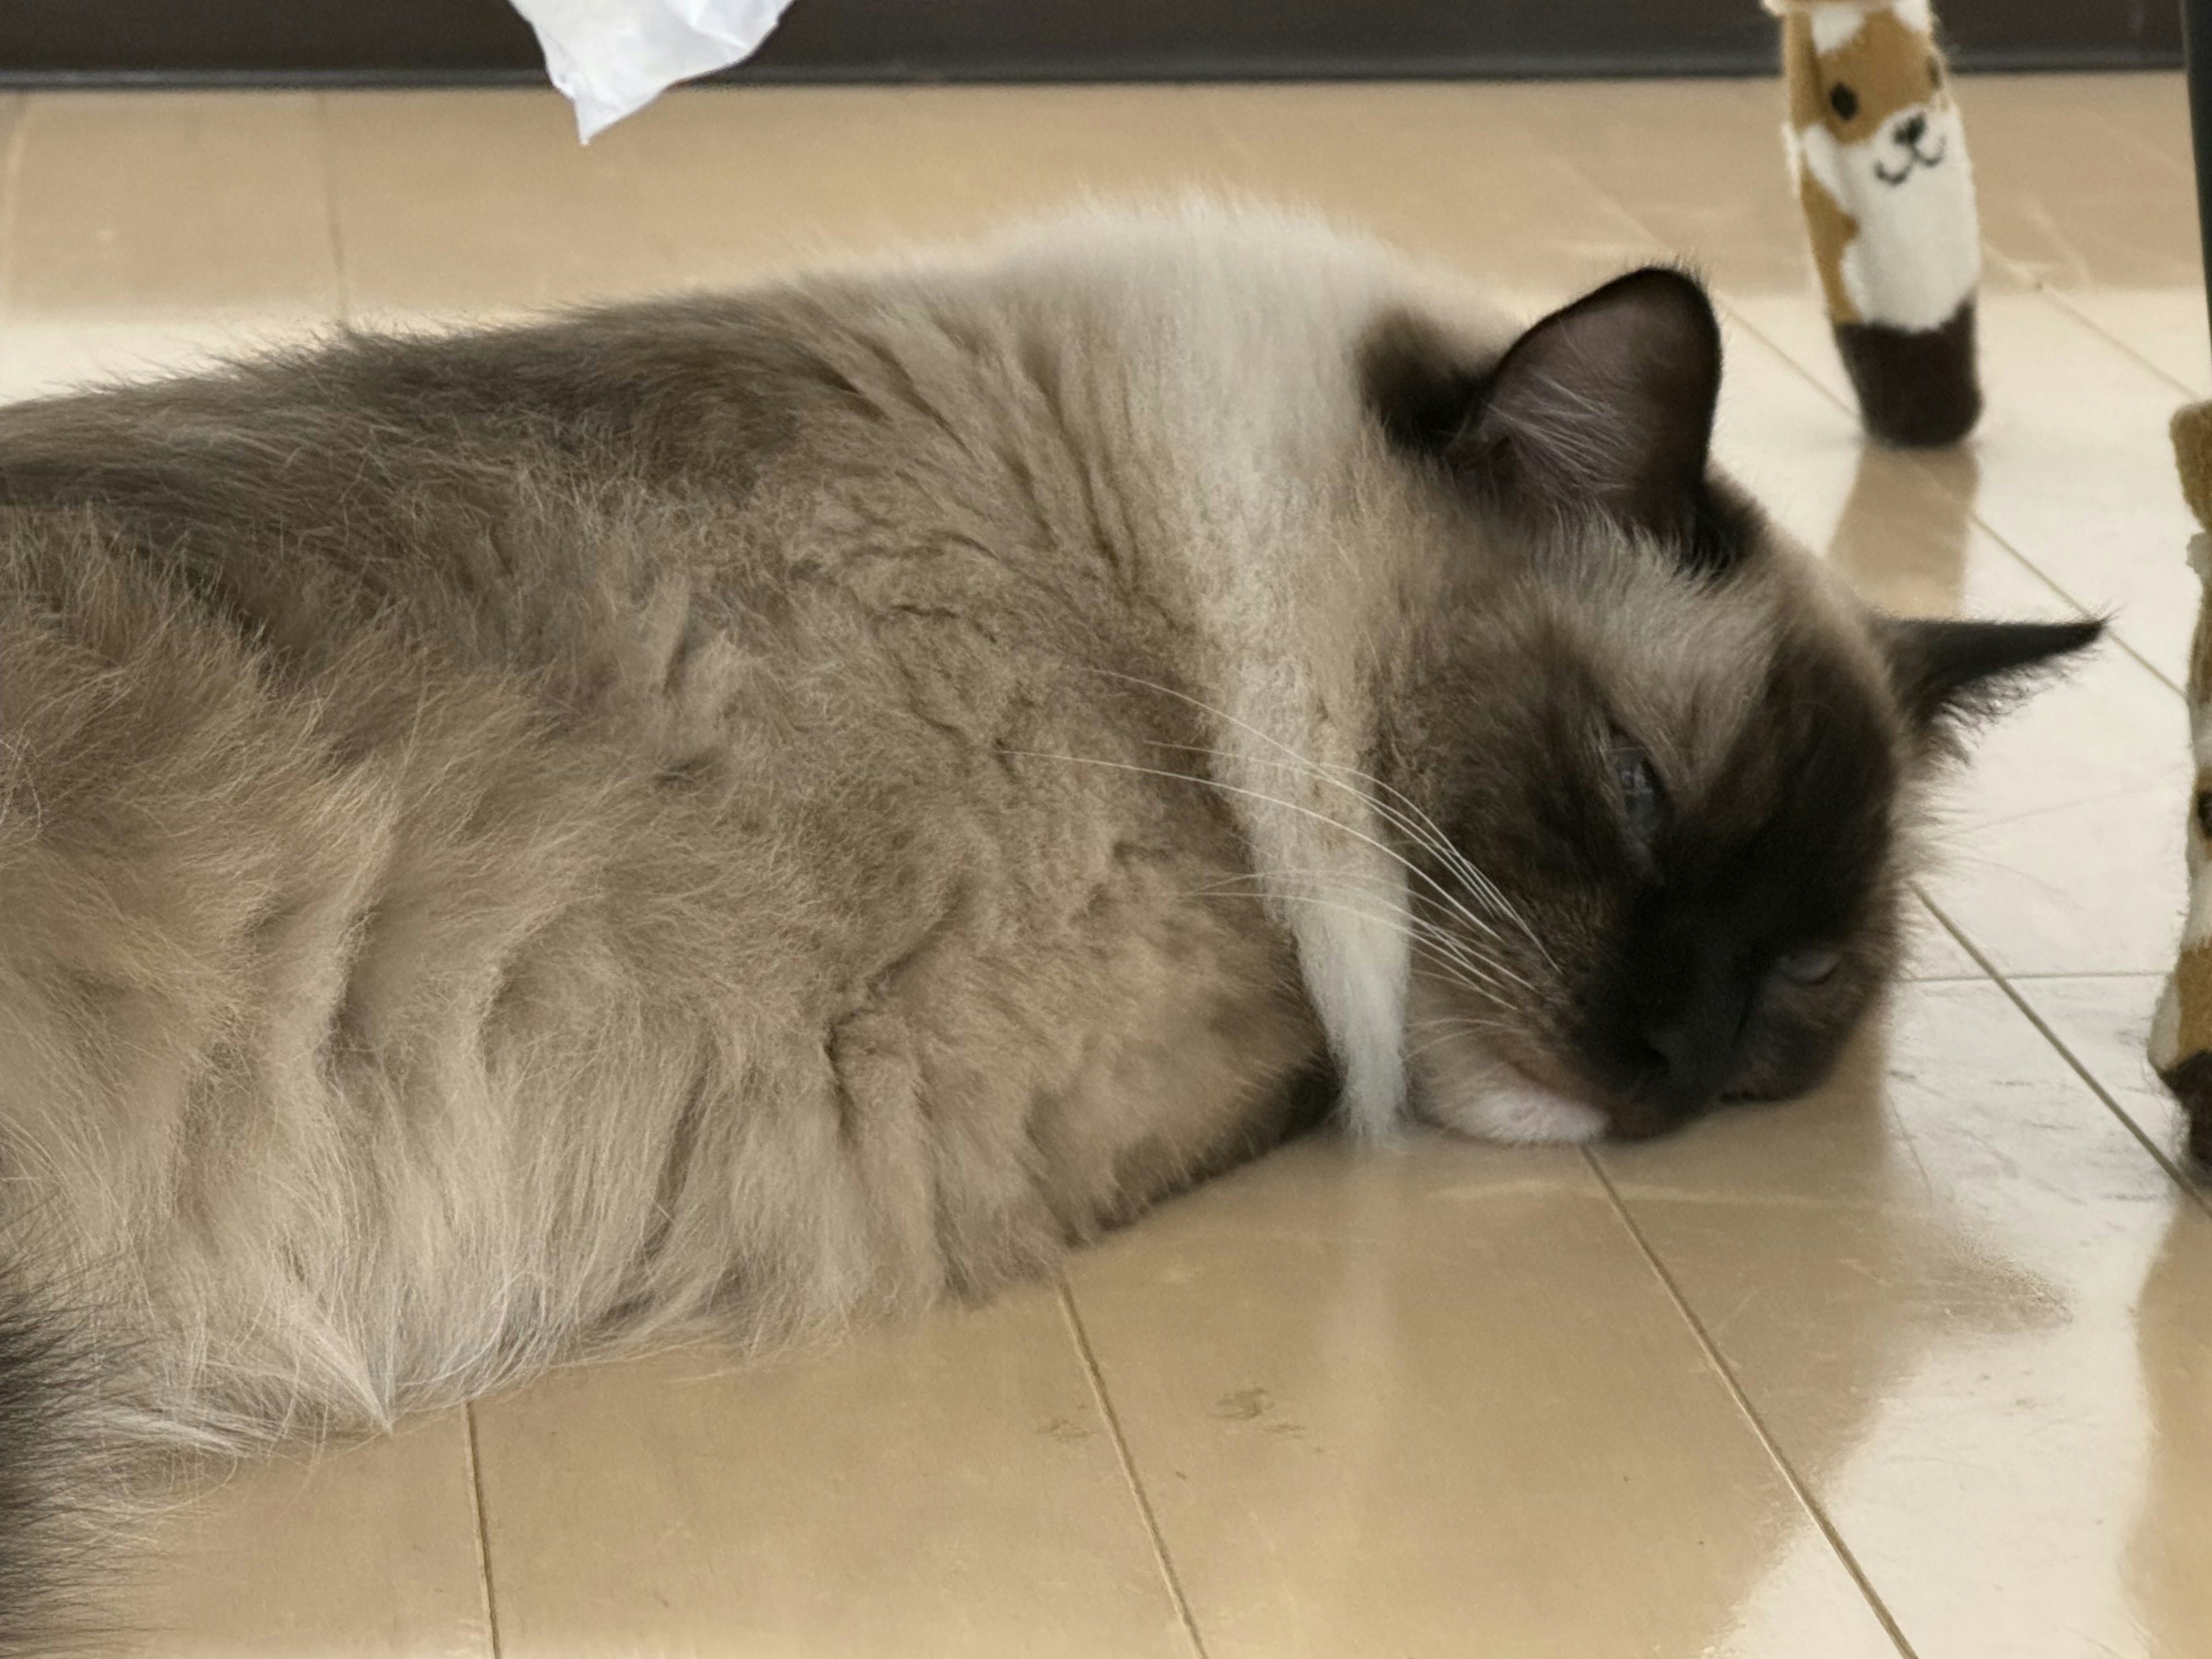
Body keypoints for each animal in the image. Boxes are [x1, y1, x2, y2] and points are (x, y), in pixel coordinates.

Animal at [0, 201, 2088, 1645]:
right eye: (1639, 792)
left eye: (1801, 975)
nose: (1665, 1066)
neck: (1168, 582)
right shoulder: (1087, 1060)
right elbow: (1323, 1043)